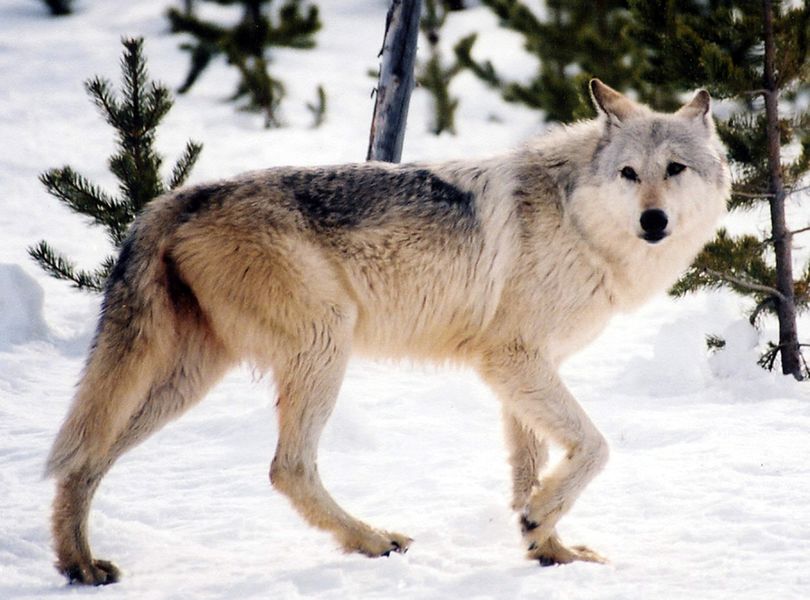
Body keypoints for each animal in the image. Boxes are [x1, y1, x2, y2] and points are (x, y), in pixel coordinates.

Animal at [44, 78, 728, 580]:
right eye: (629, 174)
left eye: (675, 169)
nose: (654, 221)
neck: (576, 219)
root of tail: (177, 198)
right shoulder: (512, 360)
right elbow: (594, 448)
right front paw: (540, 525)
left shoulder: (526, 369)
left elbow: (530, 470)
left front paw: (549, 549)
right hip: (324, 344)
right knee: (287, 468)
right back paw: (370, 540)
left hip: (187, 379)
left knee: (84, 461)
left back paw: (79, 565)